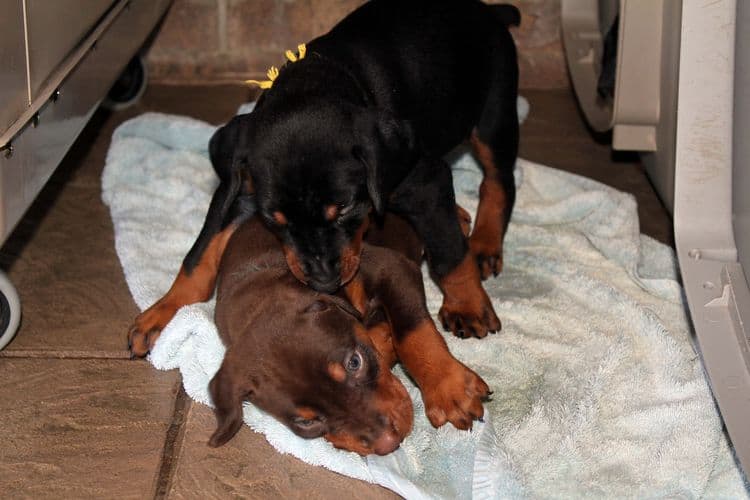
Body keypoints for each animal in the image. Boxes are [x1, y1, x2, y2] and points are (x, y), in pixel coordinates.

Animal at [128, 0, 524, 356]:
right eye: (274, 219)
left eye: (345, 208)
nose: (323, 281)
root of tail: (488, 10)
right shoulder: (237, 188)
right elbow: (199, 254)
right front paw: (161, 314)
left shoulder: (425, 181)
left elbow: (449, 251)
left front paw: (467, 305)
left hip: (495, 111)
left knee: (499, 180)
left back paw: (484, 244)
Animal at [207, 213, 488, 456]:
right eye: (306, 422)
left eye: (354, 362)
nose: (389, 443)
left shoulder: (389, 267)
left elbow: (411, 331)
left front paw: (449, 389)